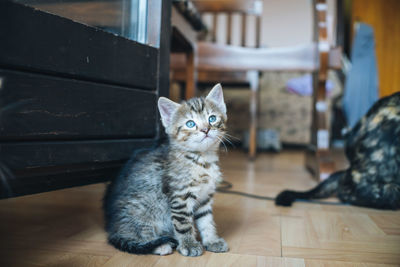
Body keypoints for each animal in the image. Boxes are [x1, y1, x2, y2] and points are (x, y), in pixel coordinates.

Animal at [102, 84, 228, 258]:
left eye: (212, 118)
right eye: (190, 124)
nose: (205, 129)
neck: (202, 160)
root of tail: (113, 229)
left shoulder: (205, 197)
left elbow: (206, 220)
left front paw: (212, 240)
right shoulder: (180, 196)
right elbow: (183, 224)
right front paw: (189, 245)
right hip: (143, 207)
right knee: (136, 231)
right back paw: (159, 245)